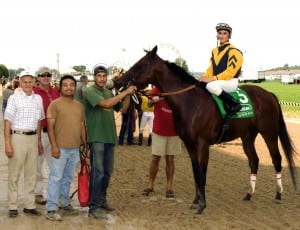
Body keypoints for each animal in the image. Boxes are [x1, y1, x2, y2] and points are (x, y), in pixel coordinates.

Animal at [113, 45, 298, 215]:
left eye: (140, 65)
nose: (118, 82)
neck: (191, 102)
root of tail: (268, 93)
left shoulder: (203, 144)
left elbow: (202, 173)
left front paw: (202, 205)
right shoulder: (190, 144)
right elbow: (196, 172)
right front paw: (196, 201)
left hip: (269, 133)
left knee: (277, 159)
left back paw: (278, 195)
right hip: (247, 136)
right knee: (254, 161)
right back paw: (249, 194)